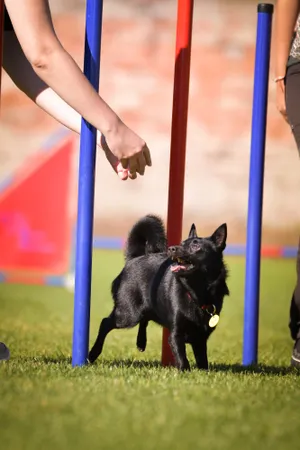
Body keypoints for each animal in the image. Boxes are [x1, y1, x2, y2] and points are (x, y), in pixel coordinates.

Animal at [88, 216, 229, 370]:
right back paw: (93, 354)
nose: (172, 248)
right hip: (128, 314)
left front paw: (203, 372)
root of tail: (134, 258)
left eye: (196, 247)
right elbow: (182, 357)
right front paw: (185, 371)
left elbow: (202, 359)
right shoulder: (175, 335)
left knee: (144, 319)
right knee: (105, 323)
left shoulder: (201, 338)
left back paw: (141, 342)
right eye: (182, 243)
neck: (196, 293)